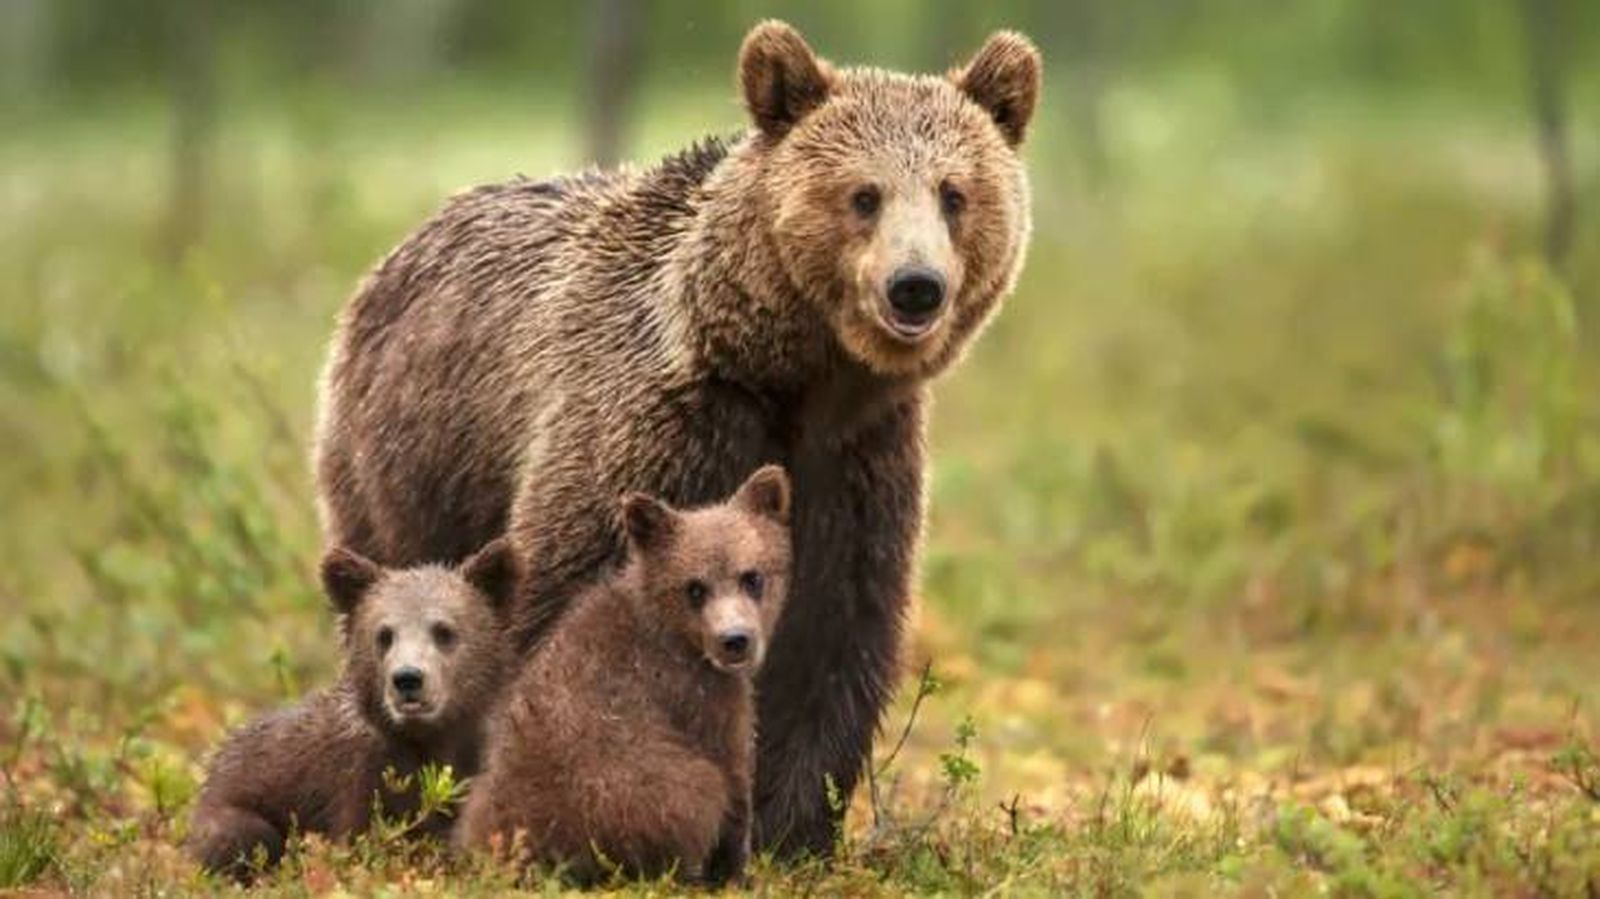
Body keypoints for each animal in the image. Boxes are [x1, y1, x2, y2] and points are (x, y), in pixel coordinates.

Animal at [186, 538, 518, 880]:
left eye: (444, 631)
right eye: (384, 634)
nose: (407, 678)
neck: (429, 740)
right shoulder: (358, 780)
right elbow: (359, 844)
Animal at [455, 465, 791, 885]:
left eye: (752, 577)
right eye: (694, 587)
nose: (735, 641)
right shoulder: (702, 702)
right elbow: (735, 782)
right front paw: (738, 872)